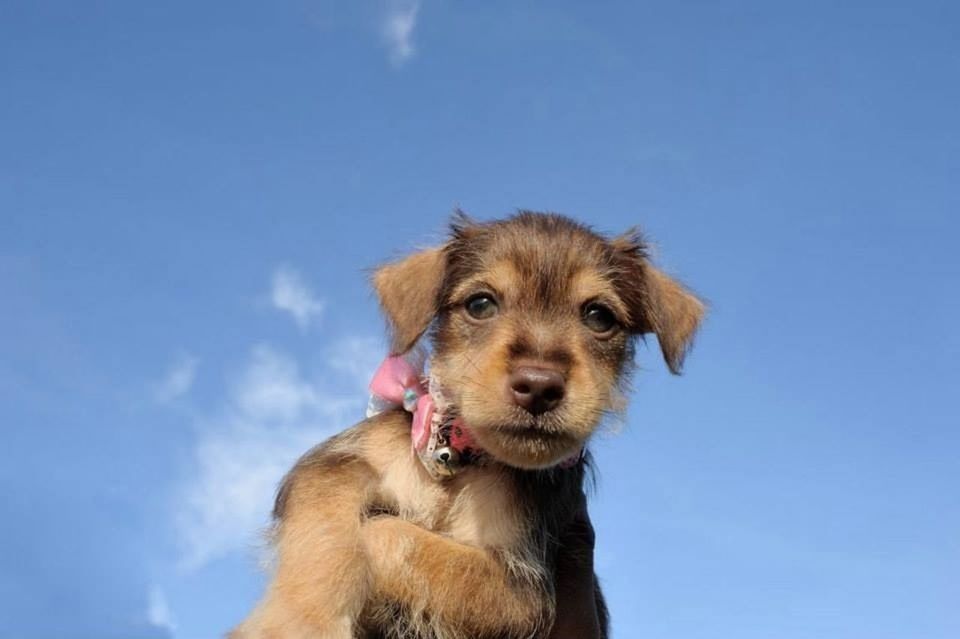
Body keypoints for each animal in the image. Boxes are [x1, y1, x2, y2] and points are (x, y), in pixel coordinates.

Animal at [229, 214, 700, 639]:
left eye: (599, 317)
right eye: (480, 304)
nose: (539, 385)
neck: (457, 459)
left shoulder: (522, 589)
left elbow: (387, 536)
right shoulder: (340, 459)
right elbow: (331, 515)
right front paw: (296, 621)